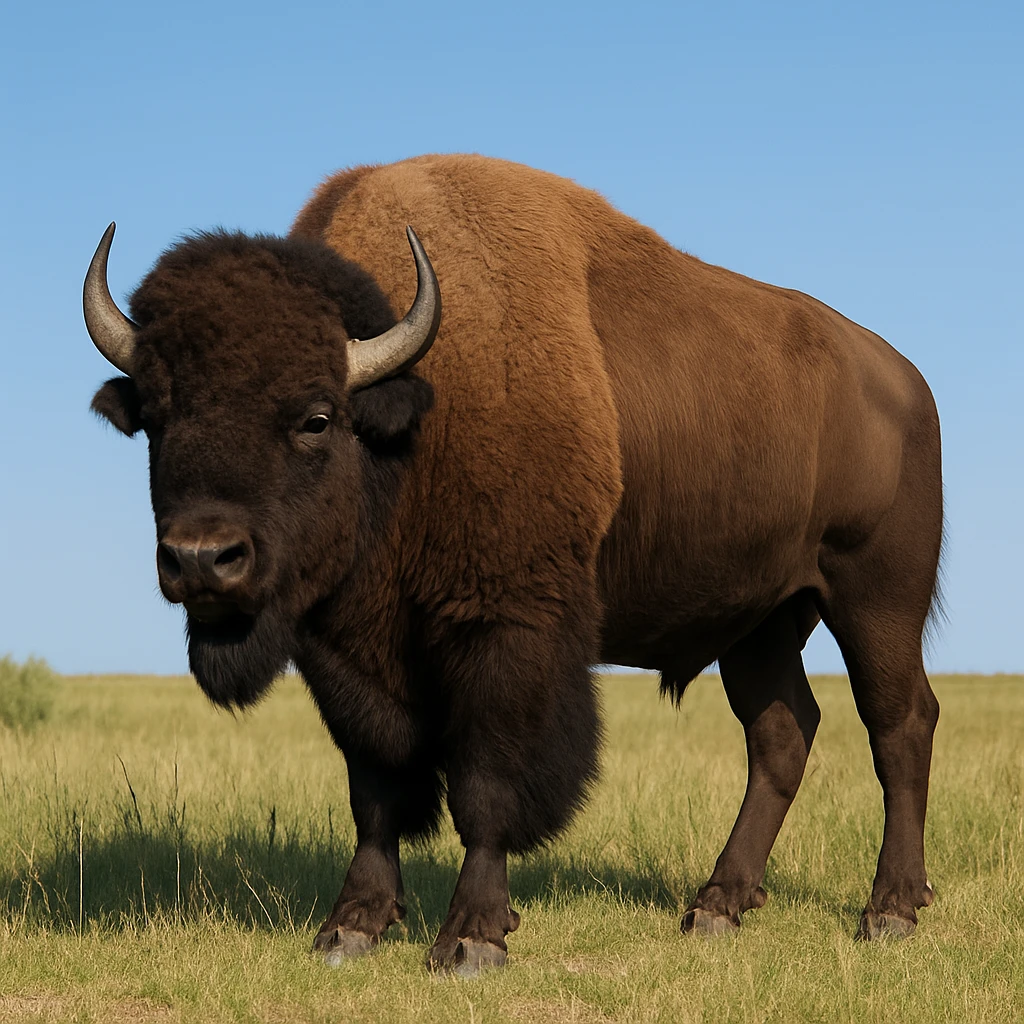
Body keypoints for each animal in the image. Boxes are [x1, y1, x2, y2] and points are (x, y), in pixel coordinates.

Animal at [85, 155, 942, 974]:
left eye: (316, 417)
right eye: (156, 418)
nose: (202, 559)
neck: (412, 421)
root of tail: (904, 379)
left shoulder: (506, 630)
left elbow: (485, 784)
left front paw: (472, 939)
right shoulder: (342, 653)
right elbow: (376, 788)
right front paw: (351, 927)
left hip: (876, 598)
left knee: (899, 723)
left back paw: (890, 912)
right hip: (759, 621)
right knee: (781, 734)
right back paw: (716, 908)